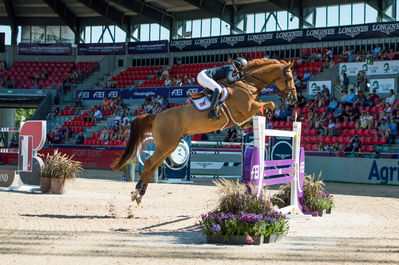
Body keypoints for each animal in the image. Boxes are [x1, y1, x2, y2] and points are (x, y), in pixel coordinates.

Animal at [112, 58, 296, 204]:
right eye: (289, 77)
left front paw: (255, 122)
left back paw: (140, 193)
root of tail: (156, 115)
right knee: (150, 164)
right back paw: (136, 192)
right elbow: (269, 104)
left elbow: (263, 109)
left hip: (169, 146)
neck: (248, 83)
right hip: (166, 145)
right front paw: (268, 113)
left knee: (152, 166)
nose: (293, 98)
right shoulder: (248, 108)